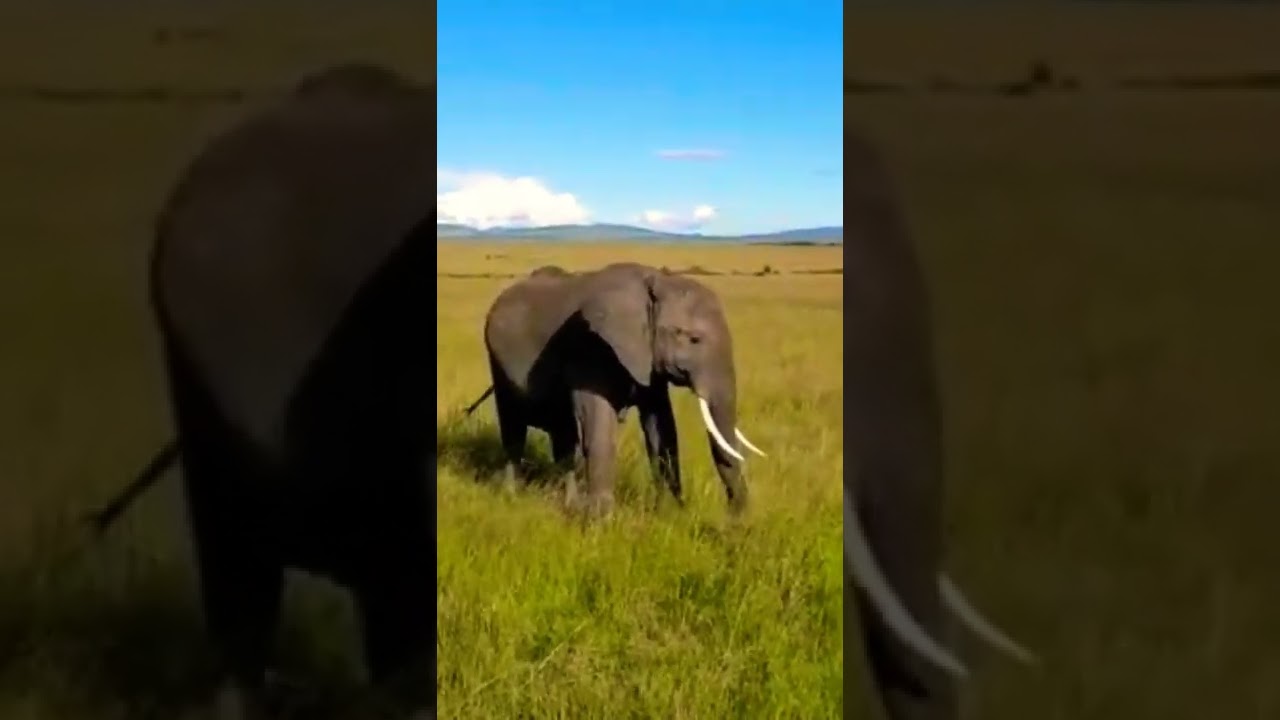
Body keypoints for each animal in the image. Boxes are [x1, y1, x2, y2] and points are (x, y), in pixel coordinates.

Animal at [482, 262, 765, 516]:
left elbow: (661, 427)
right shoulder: (591, 348)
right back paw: (512, 496)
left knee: (564, 439)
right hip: (497, 363)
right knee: (514, 430)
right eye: (694, 339)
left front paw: (670, 511)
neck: (657, 282)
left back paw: (569, 504)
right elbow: (598, 424)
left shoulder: (649, 360)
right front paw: (601, 519)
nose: (735, 517)